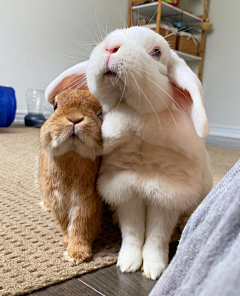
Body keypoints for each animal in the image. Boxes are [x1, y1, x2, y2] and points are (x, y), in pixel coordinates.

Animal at [39, 88, 102, 262]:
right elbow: (65, 223)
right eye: (55, 106)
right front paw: (68, 243)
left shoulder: (86, 202)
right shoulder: (58, 201)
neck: (72, 153)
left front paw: (78, 254)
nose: (75, 119)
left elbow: (80, 226)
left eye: (100, 114)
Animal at [46, 25, 213, 280]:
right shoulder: (124, 188)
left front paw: (153, 269)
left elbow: (157, 236)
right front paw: (127, 264)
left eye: (157, 52)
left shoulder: (167, 195)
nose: (110, 47)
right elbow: (132, 233)